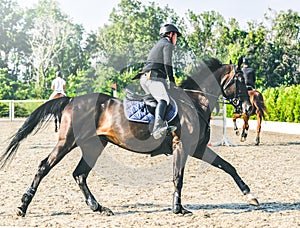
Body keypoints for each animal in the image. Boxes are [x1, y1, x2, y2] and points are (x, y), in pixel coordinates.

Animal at [0, 58, 258, 216]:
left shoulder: (198, 148)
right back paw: (22, 206)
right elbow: (178, 177)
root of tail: (72, 99)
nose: (249, 108)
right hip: (67, 142)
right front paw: (178, 208)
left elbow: (228, 166)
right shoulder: (182, 146)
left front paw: (251, 195)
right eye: (240, 81)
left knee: (80, 174)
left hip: (95, 145)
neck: (195, 102)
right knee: (45, 166)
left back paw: (98, 207)